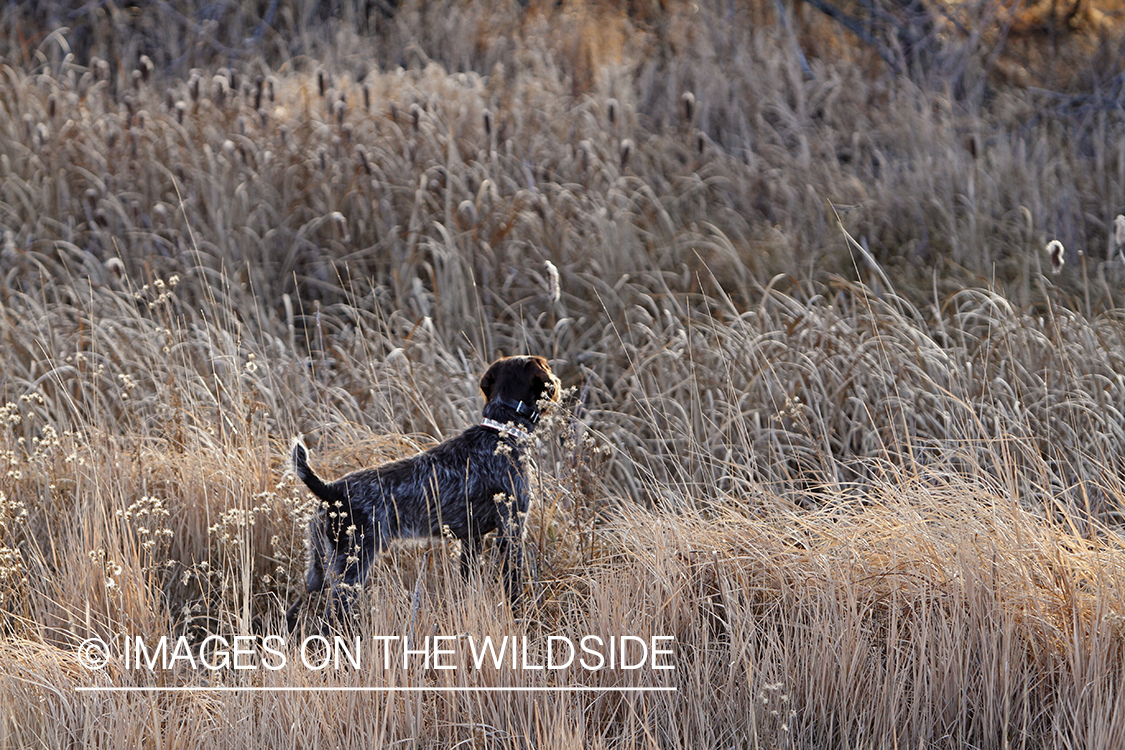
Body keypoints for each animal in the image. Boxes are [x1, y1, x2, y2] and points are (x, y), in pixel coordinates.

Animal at [285, 355, 558, 629]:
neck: (501, 431)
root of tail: (332, 490)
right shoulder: (511, 531)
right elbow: (514, 587)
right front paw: (521, 619)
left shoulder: (471, 539)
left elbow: (466, 585)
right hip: (352, 566)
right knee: (331, 618)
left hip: (319, 568)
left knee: (294, 609)